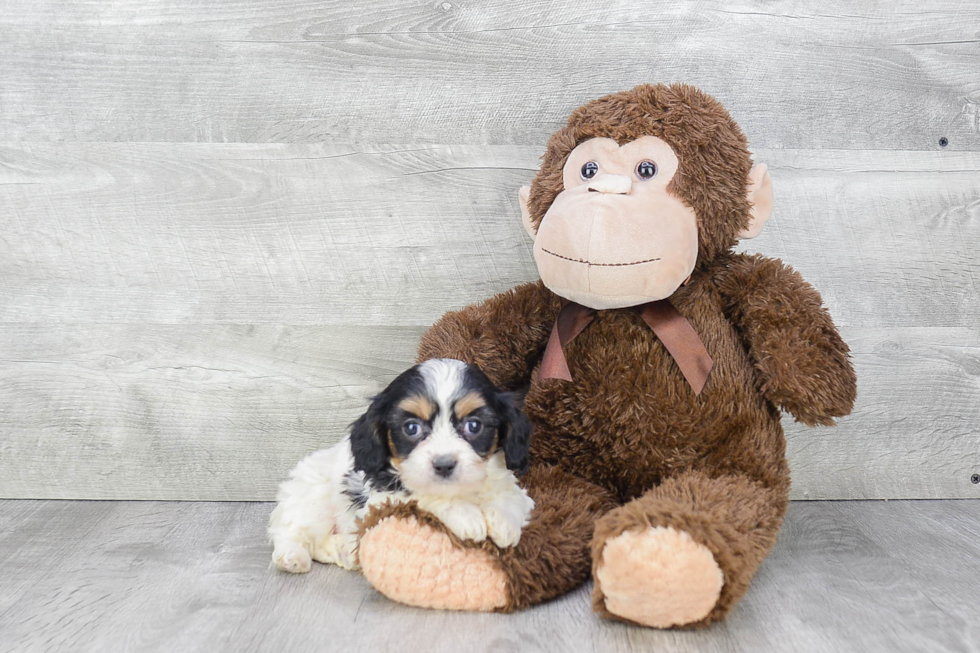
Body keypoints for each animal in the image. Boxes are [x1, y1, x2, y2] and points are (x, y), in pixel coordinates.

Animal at [268, 356, 532, 572]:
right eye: (411, 428)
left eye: (474, 426)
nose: (444, 465)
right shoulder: (382, 498)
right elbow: (421, 496)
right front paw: (467, 516)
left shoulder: (513, 489)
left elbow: (511, 499)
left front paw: (504, 524)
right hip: (311, 499)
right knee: (292, 531)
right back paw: (292, 557)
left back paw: (346, 552)